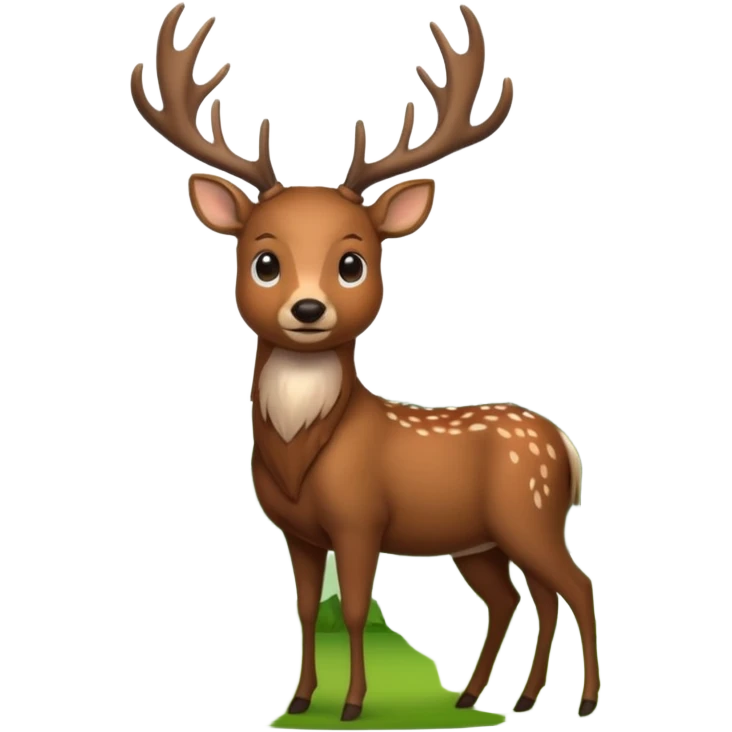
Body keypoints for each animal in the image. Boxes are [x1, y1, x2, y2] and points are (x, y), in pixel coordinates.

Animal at [130, 1, 599, 722]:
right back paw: (491, 697)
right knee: (518, 597)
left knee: (576, 586)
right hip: (482, 541)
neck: (300, 454)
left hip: (530, 511)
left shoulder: (359, 518)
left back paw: (580, 701)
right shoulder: (296, 531)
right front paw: (300, 700)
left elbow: (352, 609)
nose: (308, 308)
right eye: (264, 260)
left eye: (353, 261)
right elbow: (302, 610)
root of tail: (564, 446)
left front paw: (351, 705)